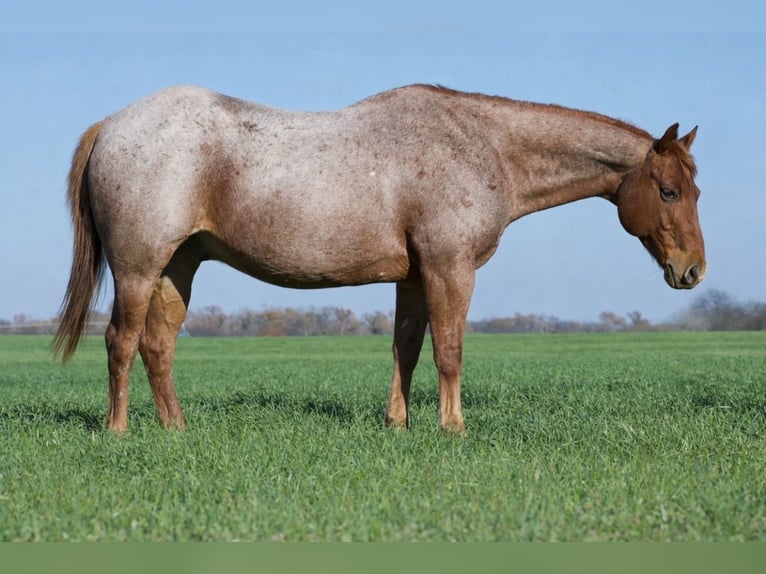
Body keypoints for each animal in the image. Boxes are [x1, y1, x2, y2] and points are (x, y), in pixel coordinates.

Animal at [53, 84, 705, 433]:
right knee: (120, 341)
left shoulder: (414, 277)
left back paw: (177, 429)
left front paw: (399, 423)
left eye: (695, 190)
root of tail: (111, 125)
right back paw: (118, 432)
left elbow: (406, 348)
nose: (693, 271)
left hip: (178, 266)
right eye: (670, 191)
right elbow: (448, 350)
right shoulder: (448, 267)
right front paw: (452, 427)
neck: (480, 145)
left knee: (157, 344)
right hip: (139, 266)